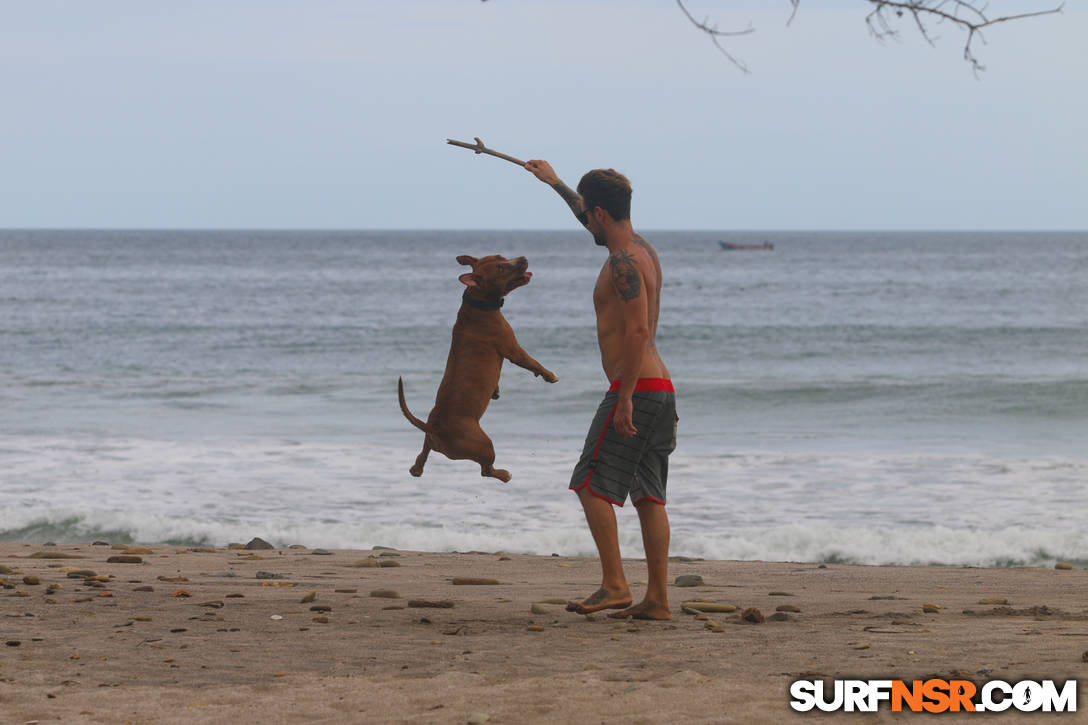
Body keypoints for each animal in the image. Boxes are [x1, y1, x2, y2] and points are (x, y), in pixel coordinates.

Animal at [396, 253, 557, 478]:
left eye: (501, 256)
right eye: (500, 268)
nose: (523, 258)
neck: (478, 303)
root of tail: (435, 428)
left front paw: (495, 391)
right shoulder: (513, 351)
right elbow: (533, 362)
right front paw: (549, 375)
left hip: (429, 442)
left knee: (422, 456)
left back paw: (416, 469)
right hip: (484, 445)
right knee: (486, 470)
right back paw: (504, 474)